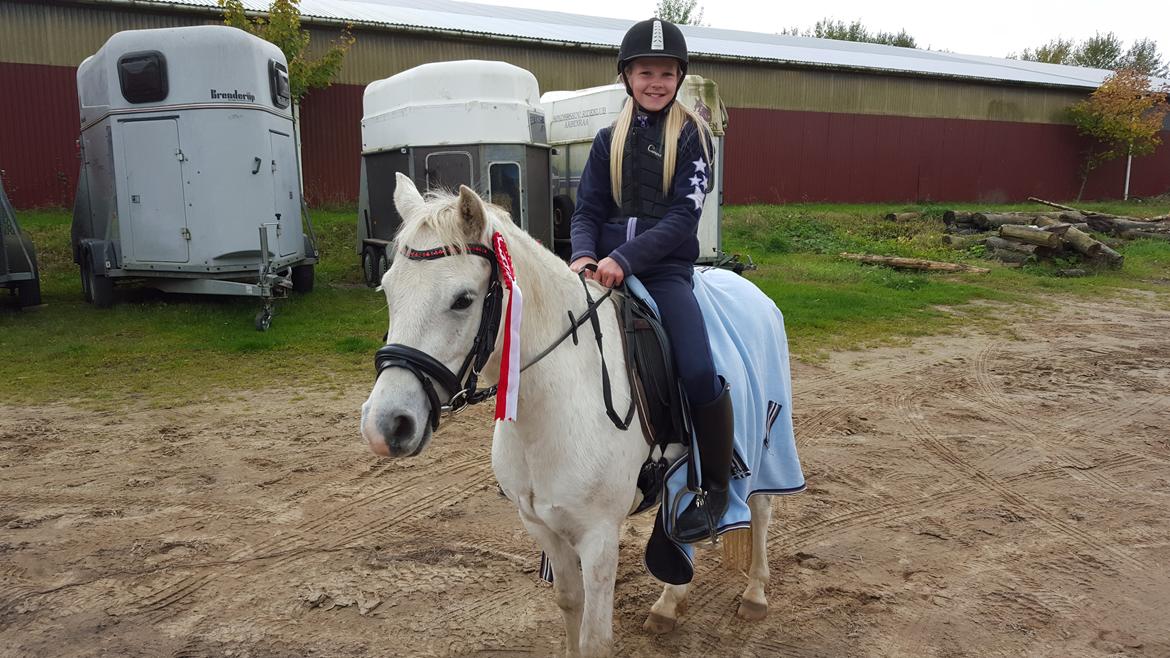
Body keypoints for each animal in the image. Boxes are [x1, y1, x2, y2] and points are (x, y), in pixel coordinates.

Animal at [360, 173, 779, 657]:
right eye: (387, 289)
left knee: (761, 508)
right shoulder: (542, 525)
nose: (385, 426)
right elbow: (568, 604)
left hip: (764, 446)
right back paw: (669, 604)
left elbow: (595, 637)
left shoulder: (598, 537)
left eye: (462, 300)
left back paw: (755, 594)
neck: (553, 404)